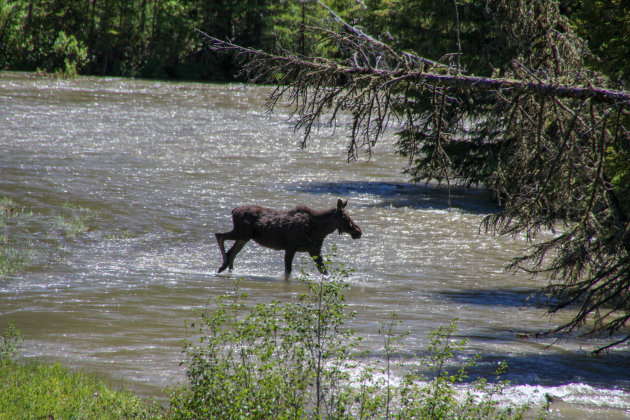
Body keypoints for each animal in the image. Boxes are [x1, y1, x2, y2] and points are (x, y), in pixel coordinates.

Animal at [217, 199, 366, 278]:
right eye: (345, 217)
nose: (358, 231)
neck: (319, 230)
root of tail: (233, 210)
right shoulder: (291, 247)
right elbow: (288, 272)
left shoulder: (315, 250)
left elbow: (325, 271)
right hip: (241, 233)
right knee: (219, 236)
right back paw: (223, 264)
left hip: (244, 238)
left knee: (232, 253)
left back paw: (227, 268)